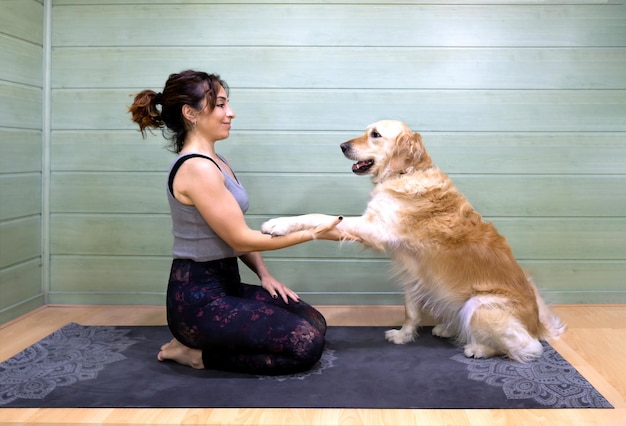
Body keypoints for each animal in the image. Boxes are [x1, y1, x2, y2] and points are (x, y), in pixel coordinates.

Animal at [260, 119, 564, 362]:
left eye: (375, 134)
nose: (342, 145)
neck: (406, 173)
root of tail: (538, 324)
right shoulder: (412, 271)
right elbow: (410, 310)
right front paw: (404, 336)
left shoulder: (375, 227)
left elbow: (320, 216)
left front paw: (279, 224)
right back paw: (447, 328)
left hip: (480, 304)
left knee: (527, 348)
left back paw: (479, 348)